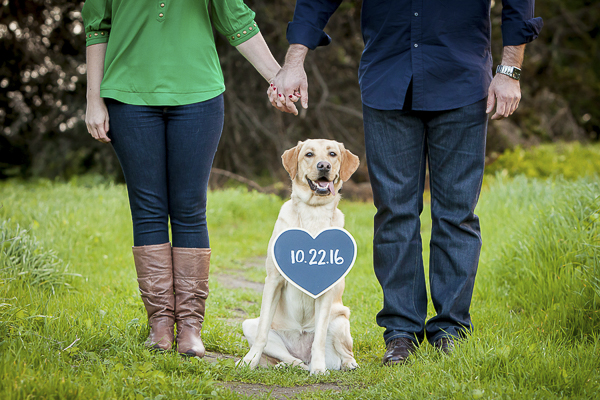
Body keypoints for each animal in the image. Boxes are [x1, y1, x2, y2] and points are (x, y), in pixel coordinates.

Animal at [239, 139, 360, 374]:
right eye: (309, 154)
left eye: (332, 154)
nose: (324, 166)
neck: (314, 212)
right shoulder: (274, 280)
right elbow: (262, 333)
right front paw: (249, 361)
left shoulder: (327, 288)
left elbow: (319, 337)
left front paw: (319, 369)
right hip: (248, 324)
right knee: (292, 359)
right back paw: (287, 365)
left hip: (340, 320)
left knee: (342, 353)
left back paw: (345, 364)